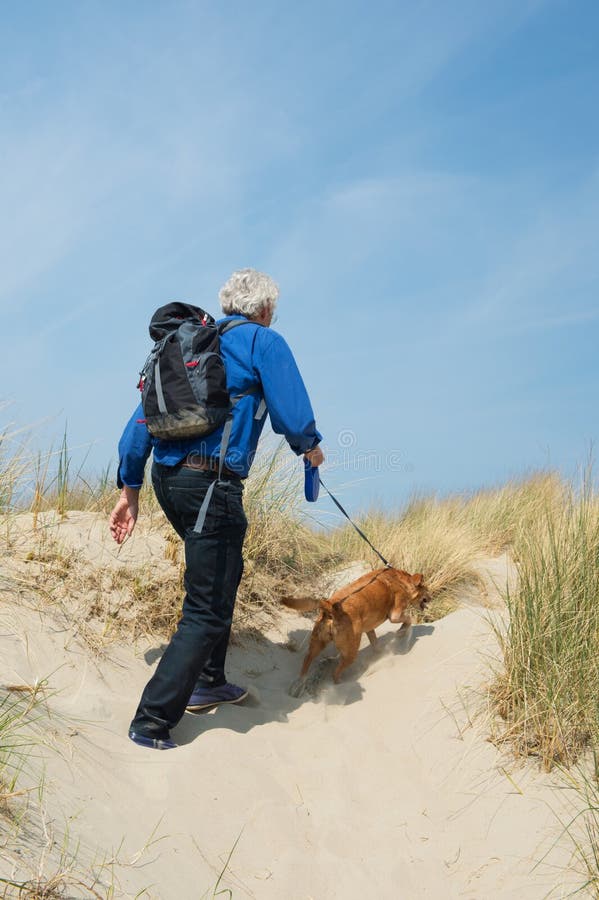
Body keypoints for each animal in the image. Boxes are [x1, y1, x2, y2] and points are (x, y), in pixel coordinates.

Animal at [282, 568, 432, 684]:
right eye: (427, 590)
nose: (431, 599)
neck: (402, 580)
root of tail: (331, 608)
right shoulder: (395, 615)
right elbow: (409, 619)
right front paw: (402, 631)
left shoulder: (370, 629)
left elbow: (375, 644)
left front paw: (380, 653)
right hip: (351, 652)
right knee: (335, 673)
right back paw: (341, 684)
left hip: (317, 644)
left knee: (306, 661)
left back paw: (299, 685)